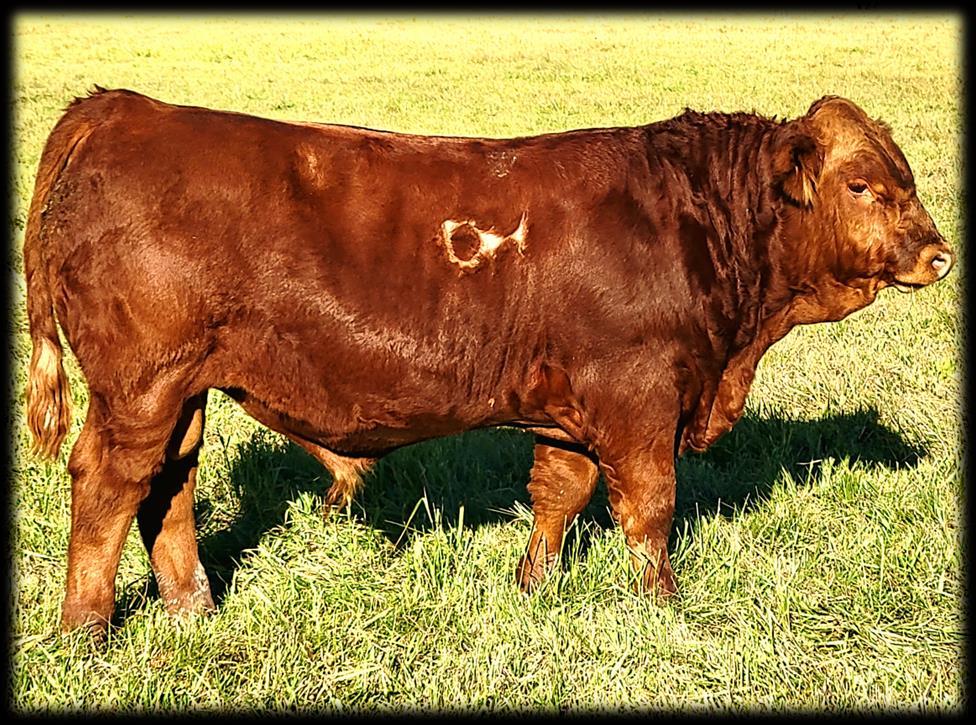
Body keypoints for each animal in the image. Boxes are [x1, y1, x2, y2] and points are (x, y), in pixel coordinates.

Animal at [23, 88, 953, 635]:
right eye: (863, 185)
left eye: (904, 175)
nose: (939, 254)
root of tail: (122, 108)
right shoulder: (641, 397)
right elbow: (649, 509)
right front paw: (662, 606)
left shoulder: (575, 409)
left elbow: (559, 494)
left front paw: (531, 586)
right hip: (140, 388)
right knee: (109, 486)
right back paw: (88, 630)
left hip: (183, 390)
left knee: (168, 486)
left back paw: (193, 611)